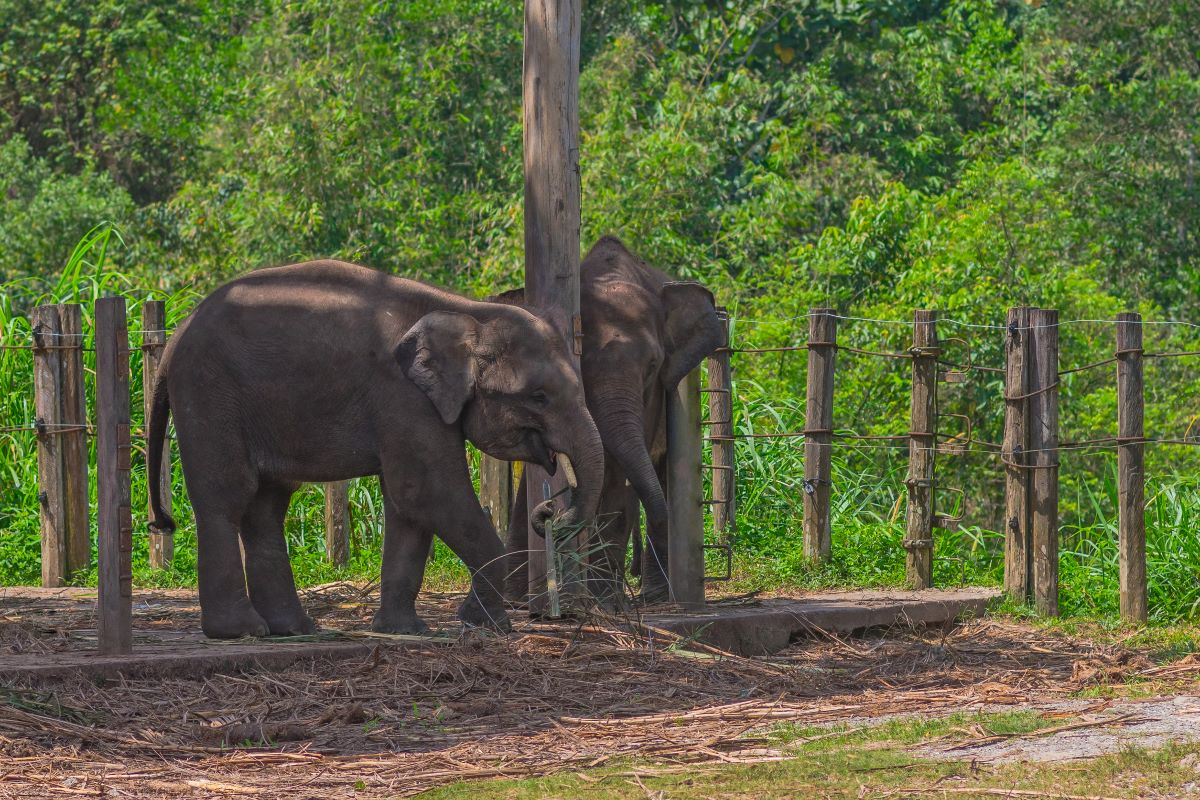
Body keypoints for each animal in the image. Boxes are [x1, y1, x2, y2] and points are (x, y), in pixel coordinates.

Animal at [145, 261, 604, 638]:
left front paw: (405, 630)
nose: (549, 510)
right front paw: (486, 625)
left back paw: (295, 629)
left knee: (267, 505)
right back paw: (242, 632)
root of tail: (174, 338)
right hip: (209, 393)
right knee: (227, 497)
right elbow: (428, 492)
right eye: (540, 396)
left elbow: (408, 506)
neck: (467, 310)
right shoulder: (403, 395)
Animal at [494, 235, 724, 604]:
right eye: (580, 364)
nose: (551, 512)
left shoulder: (652, 396)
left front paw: (605, 602)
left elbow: (615, 472)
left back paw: (651, 595)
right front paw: (519, 599)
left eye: (652, 365)